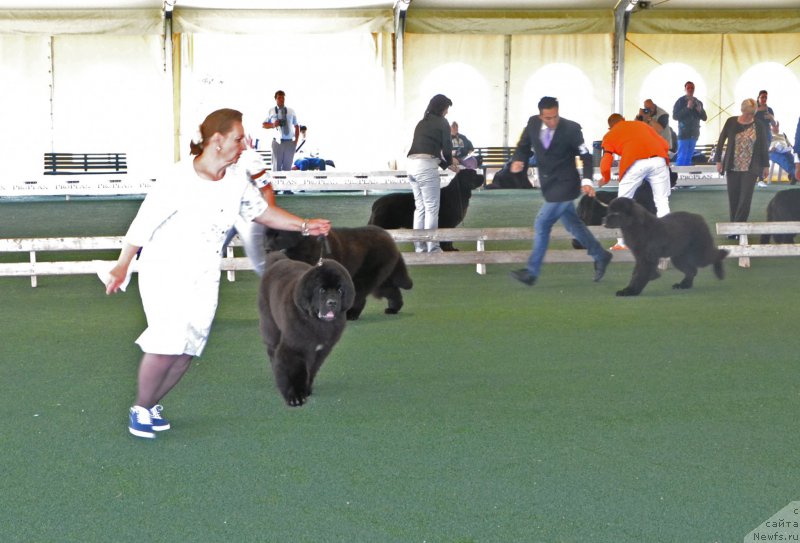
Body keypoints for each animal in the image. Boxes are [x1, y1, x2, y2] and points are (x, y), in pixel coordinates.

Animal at [258, 253, 354, 406]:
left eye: (340, 291)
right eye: (322, 290)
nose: (332, 303)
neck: (316, 322)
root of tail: (279, 261)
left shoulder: (320, 351)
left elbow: (311, 370)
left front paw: (306, 389)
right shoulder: (293, 348)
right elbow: (291, 371)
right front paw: (295, 396)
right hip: (270, 326)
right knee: (272, 352)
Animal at [266, 226, 412, 324]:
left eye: (278, 235)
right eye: (266, 236)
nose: (266, 248)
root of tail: (389, 237)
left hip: (365, 276)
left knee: (360, 296)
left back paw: (351, 315)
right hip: (380, 279)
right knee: (391, 290)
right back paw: (393, 309)